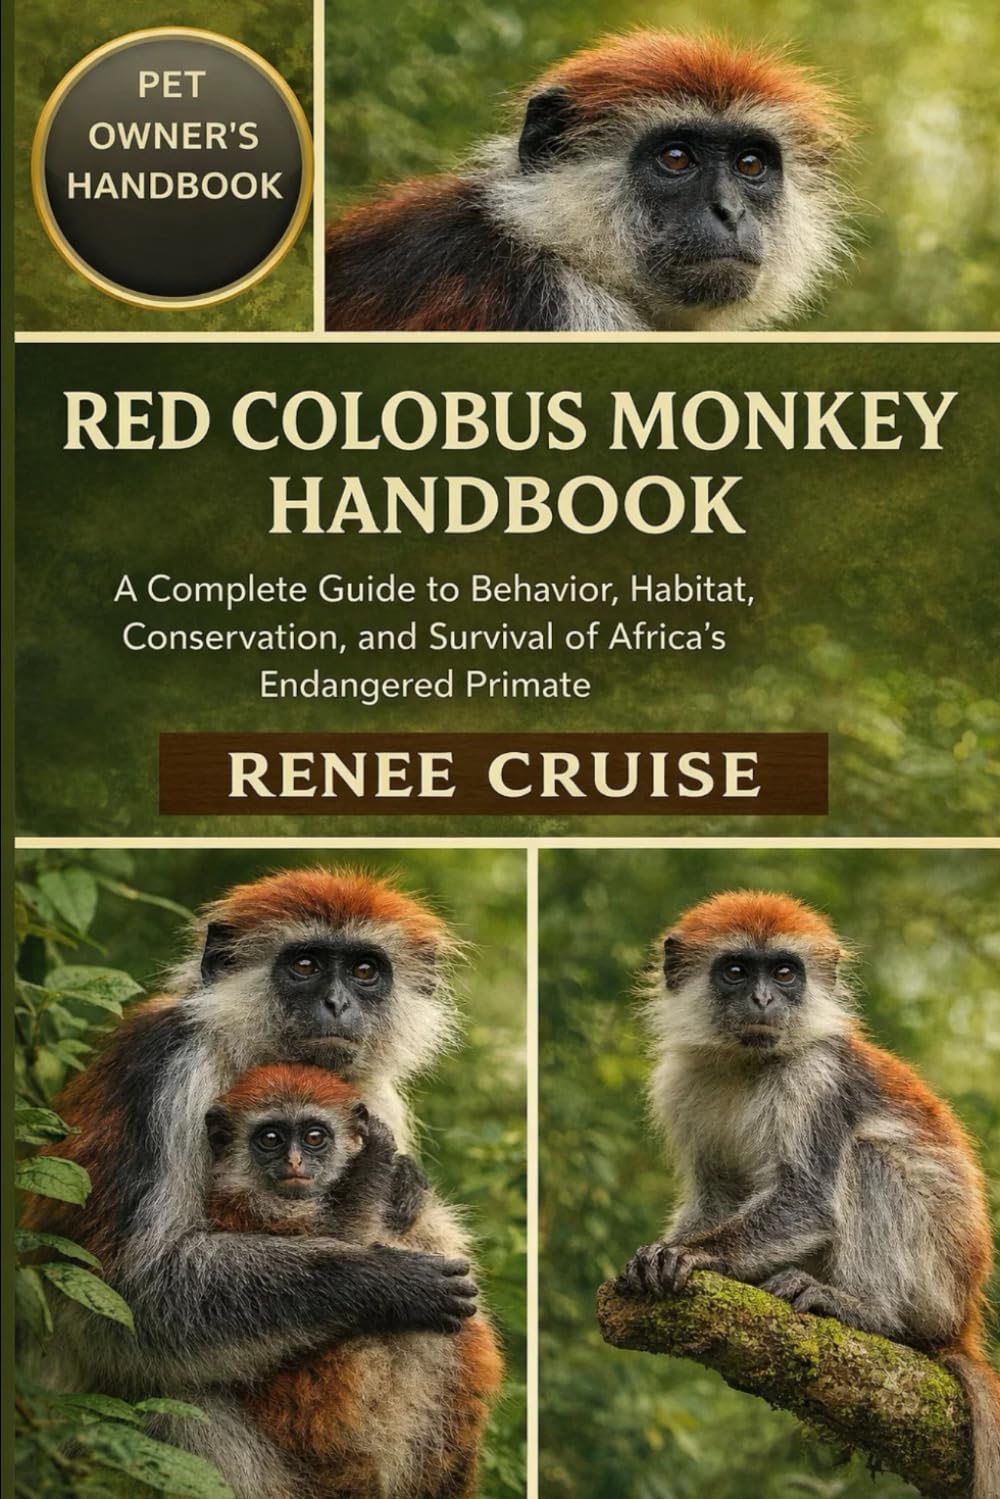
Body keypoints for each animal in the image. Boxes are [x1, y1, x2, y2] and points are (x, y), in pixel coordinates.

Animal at [205, 1064, 503, 1499]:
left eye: (315, 1137)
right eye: (270, 1139)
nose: (294, 1161)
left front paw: (399, 1172)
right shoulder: (241, 1206)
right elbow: (345, 1243)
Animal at [617, 890, 1000, 1499]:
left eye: (783, 972)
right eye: (735, 971)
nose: (763, 998)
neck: (748, 1063)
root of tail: (961, 1317)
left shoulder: (816, 1081)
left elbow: (808, 1203)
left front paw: (693, 1254)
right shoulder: (681, 1081)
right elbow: (714, 1196)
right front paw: (657, 1256)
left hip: (932, 1283)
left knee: (866, 1157)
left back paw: (866, 1310)